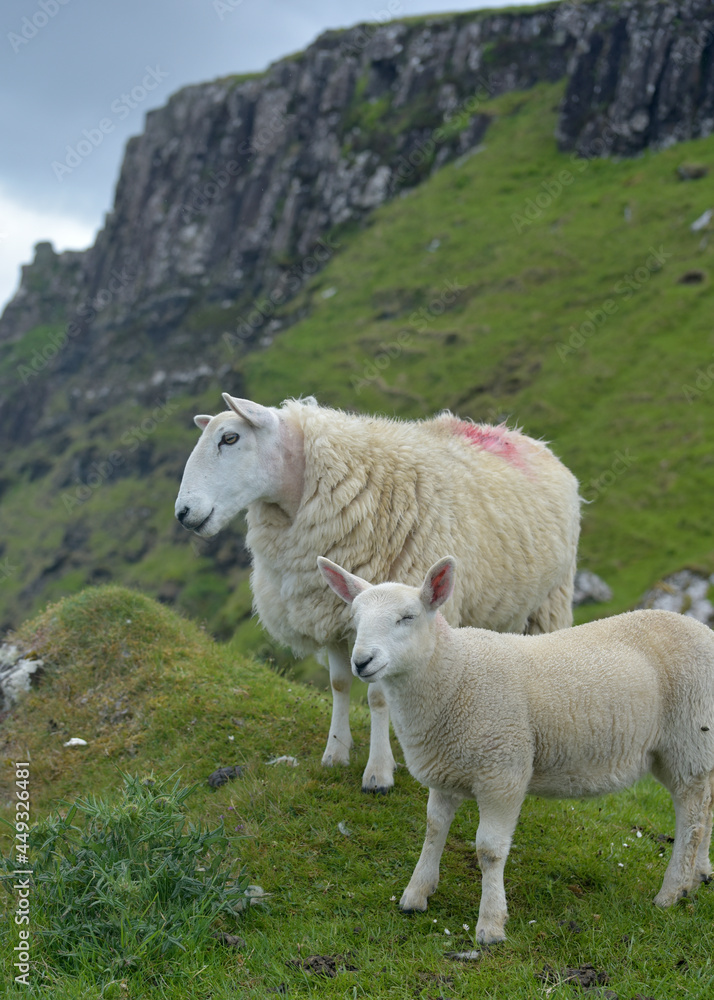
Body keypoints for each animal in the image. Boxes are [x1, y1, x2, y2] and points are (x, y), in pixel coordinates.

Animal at [175, 393, 581, 793]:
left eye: (230, 438)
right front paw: (335, 753)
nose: (182, 512)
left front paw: (379, 772)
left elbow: (378, 696)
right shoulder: (332, 615)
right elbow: (339, 685)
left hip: (550, 602)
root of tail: (521, 436)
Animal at [318, 554, 714, 943]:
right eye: (355, 620)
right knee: (707, 807)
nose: (361, 662)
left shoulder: (503, 772)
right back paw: (698, 877)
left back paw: (671, 891)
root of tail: (702, 629)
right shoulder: (445, 772)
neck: (454, 675)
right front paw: (416, 894)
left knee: (692, 817)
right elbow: (433, 830)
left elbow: (489, 850)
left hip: (689, 740)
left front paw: (491, 925)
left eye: (407, 617)